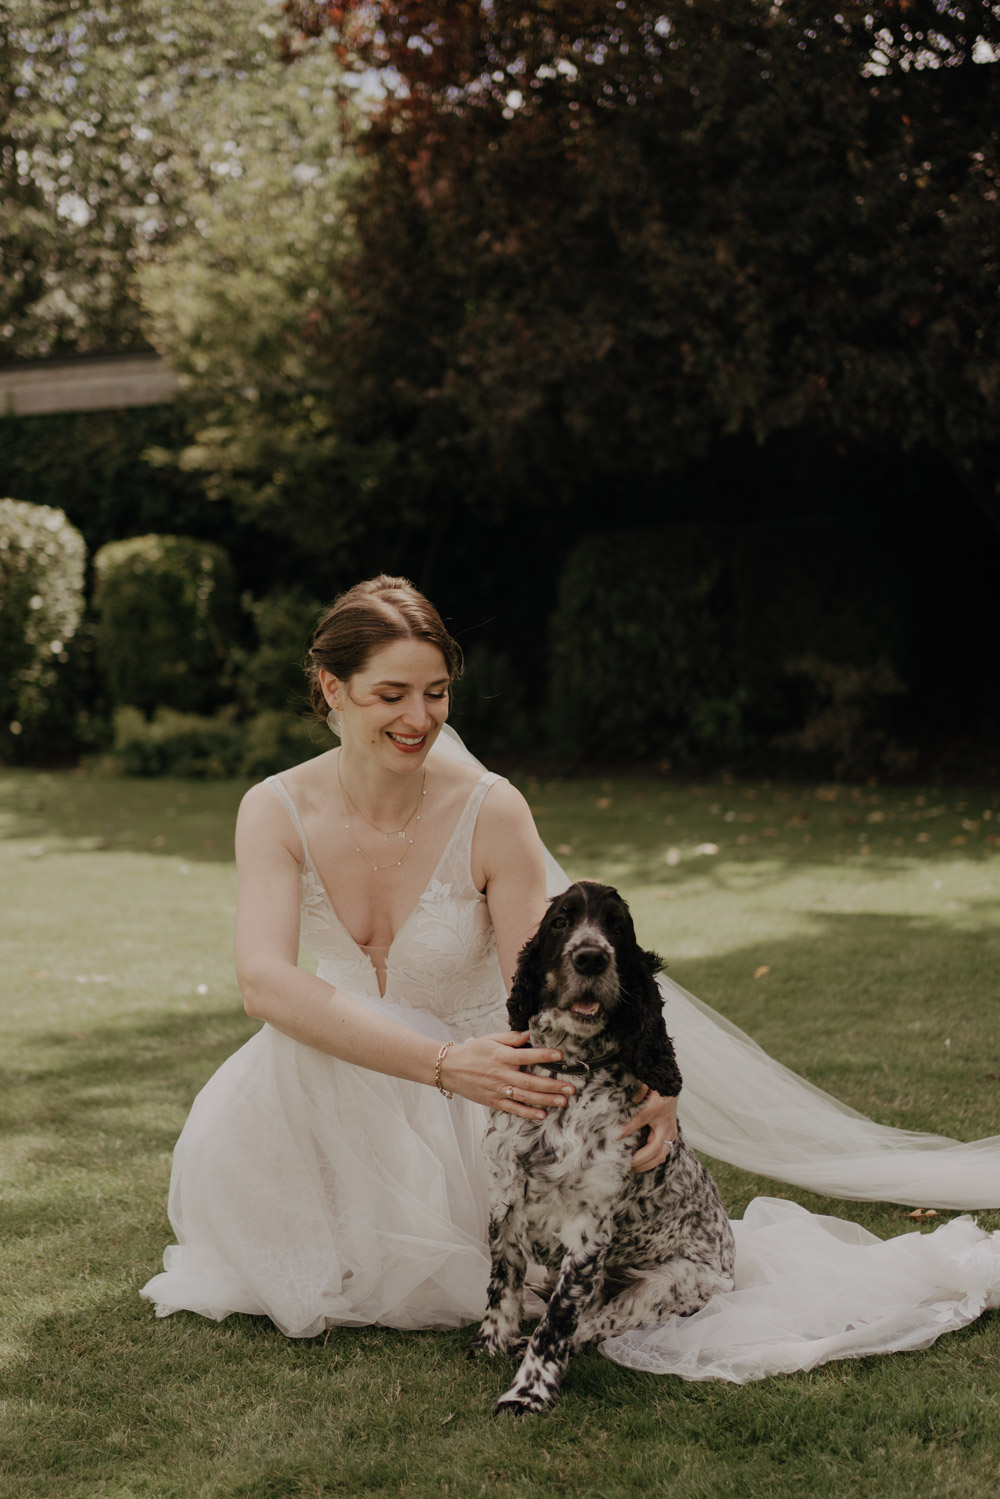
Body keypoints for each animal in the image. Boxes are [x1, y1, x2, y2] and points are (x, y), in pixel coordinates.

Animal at [470, 875, 734, 1415]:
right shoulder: (505, 1204)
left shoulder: (589, 1232)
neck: (569, 1075)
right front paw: (490, 1344)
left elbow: (556, 1325)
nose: (591, 957)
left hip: (671, 1284)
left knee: (591, 1325)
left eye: (617, 926)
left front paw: (527, 1392)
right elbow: (501, 1287)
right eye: (561, 921)